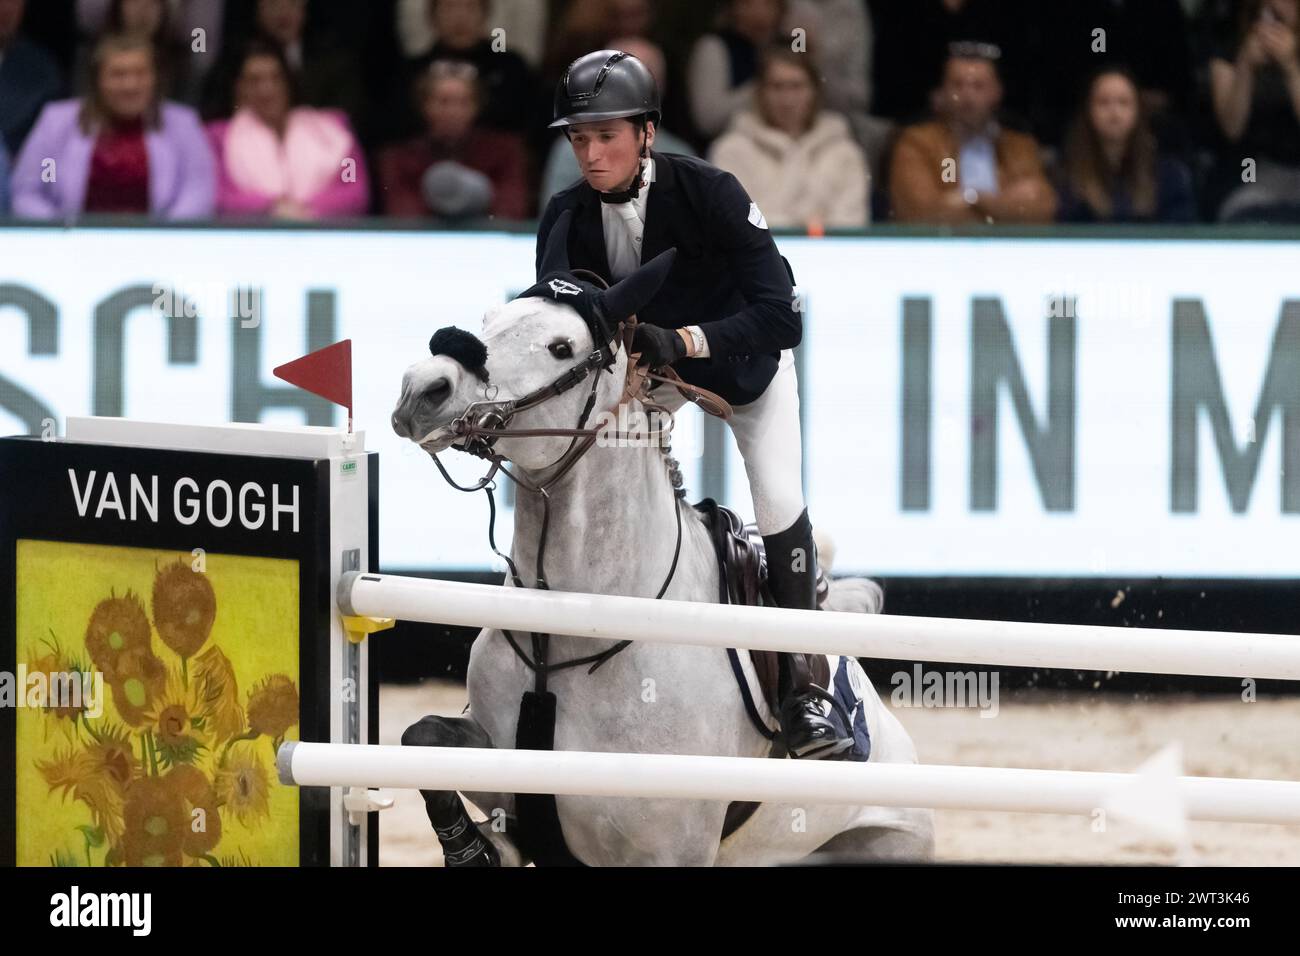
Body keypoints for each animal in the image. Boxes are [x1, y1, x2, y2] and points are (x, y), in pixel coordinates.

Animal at [390, 218, 930, 868]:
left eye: (562, 347)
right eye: (490, 319)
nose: (422, 389)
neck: (572, 632)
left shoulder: (669, 838)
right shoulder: (511, 774)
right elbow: (423, 738)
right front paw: (473, 849)